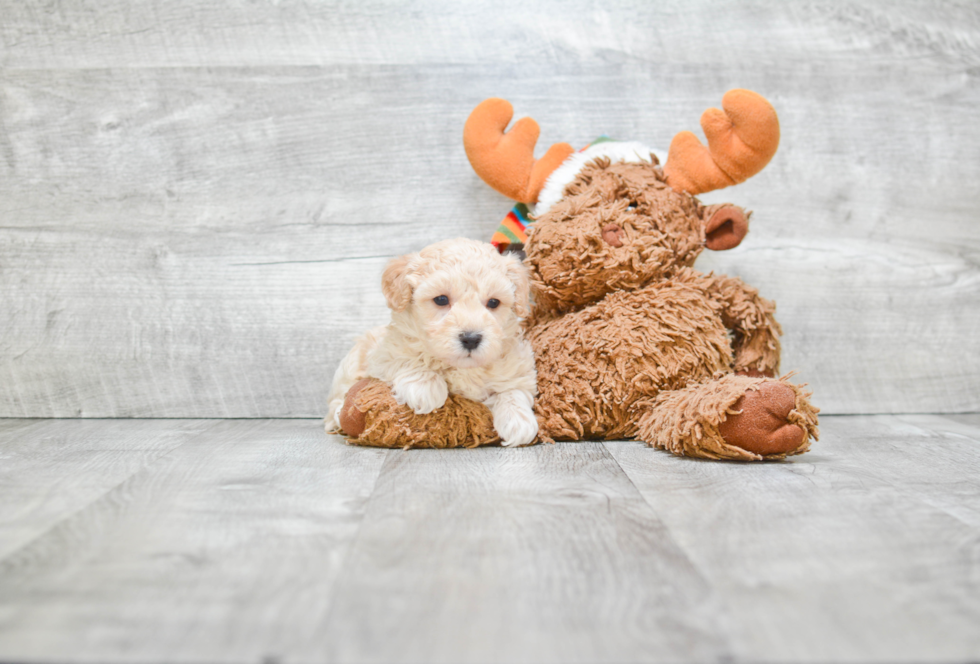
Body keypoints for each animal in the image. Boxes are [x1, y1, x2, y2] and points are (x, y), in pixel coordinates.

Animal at [324, 237, 536, 446]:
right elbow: (404, 356)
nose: (471, 339)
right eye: (441, 299)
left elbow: (514, 389)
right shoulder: (381, 354)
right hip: (350, 366)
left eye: (493, 302)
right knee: (335, 402)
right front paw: (425, 387)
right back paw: (339, 414)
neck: (462, 368)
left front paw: (518, 420)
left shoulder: (518, 366)